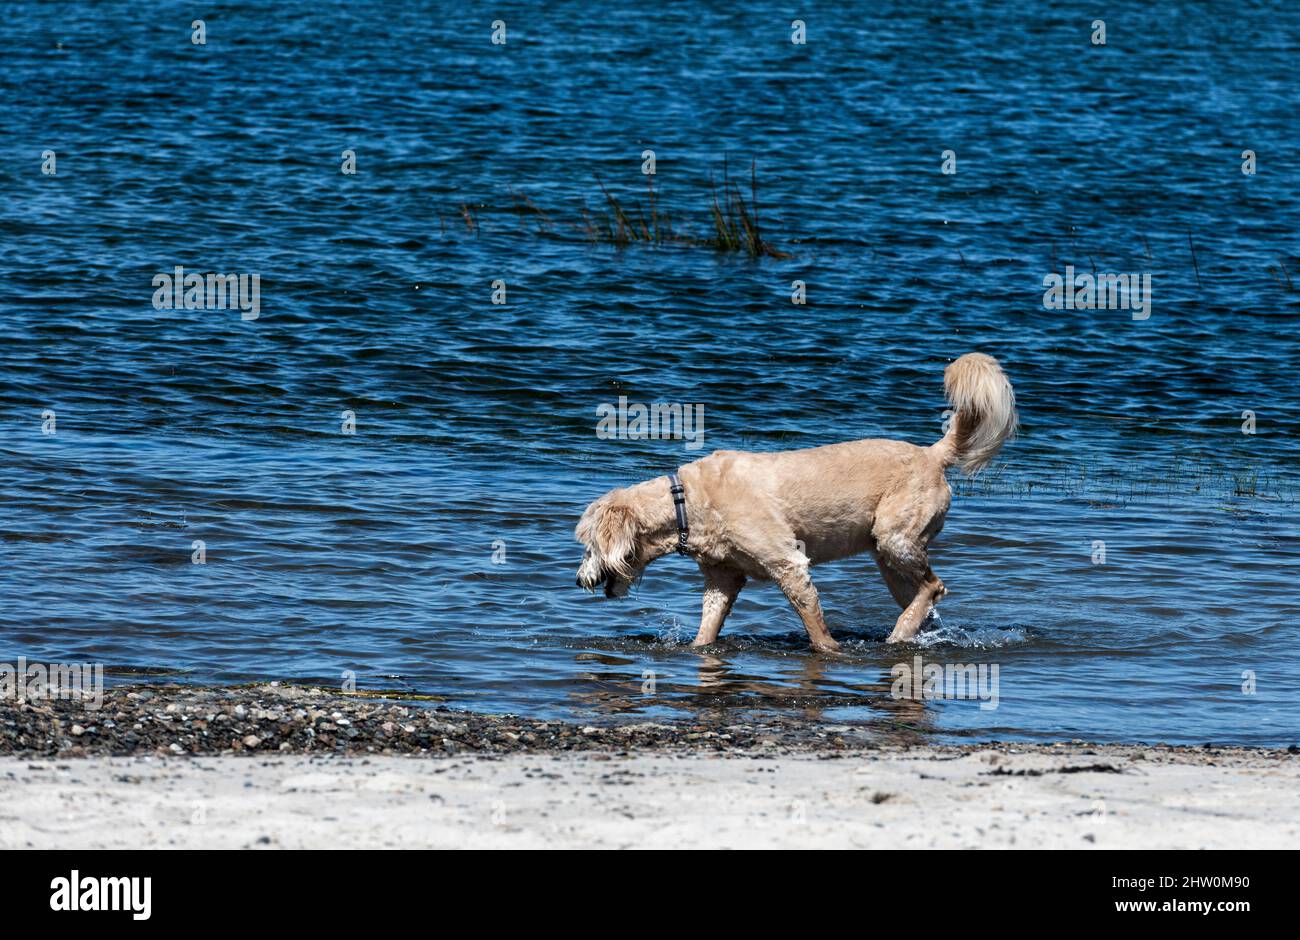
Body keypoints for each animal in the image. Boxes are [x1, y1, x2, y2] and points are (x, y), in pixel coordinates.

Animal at [577, 353, 1013, 655]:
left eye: (588, 547)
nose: (579, 580)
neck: (688, 501)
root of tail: (931, 454)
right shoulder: (723, 578)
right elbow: (707, 628)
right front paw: (698, 650)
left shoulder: (788, 563)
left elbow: (813, 623)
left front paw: (830, 651)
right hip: (888, 556)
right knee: (925, 594)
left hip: (896, 537)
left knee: (934, 586)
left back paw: (898, 633)